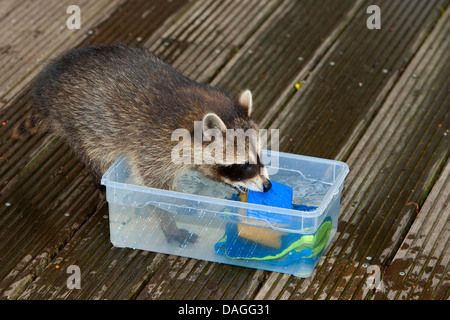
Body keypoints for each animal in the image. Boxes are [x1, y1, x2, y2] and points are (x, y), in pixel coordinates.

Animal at [16, 43, 270, 244]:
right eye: (244, 165)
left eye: (259, 157)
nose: (268, 186)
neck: (193, 115)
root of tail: (47, 89)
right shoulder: (153, 146)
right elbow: (157, 190)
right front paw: (178, 216)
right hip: (81, 126)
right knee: (97, 157)